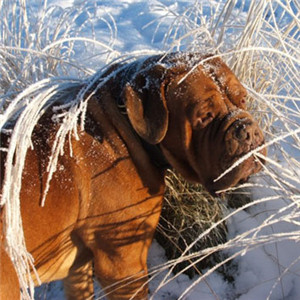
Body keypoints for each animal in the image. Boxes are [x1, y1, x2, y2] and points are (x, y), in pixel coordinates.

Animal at [0, 52, 264, 298]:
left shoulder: (78, 269)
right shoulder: (124, 266)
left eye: (243, 99)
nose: (248, 131)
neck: (126, 127)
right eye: (204, 116)